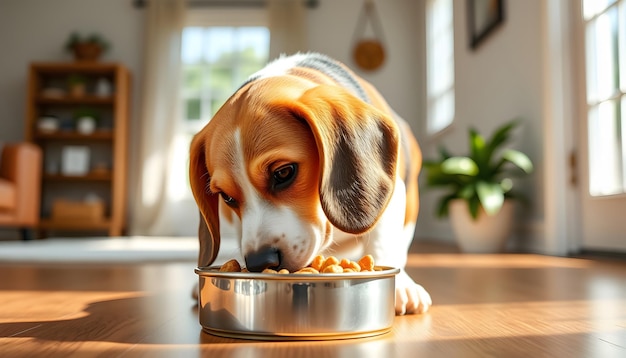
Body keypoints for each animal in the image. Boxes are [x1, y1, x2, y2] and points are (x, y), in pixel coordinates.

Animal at [189, 51, 428, 314]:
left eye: (284, 172)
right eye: (227, 197)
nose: (260, 262)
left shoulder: (395, 193)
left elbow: (383, 240)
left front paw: (400, 287)